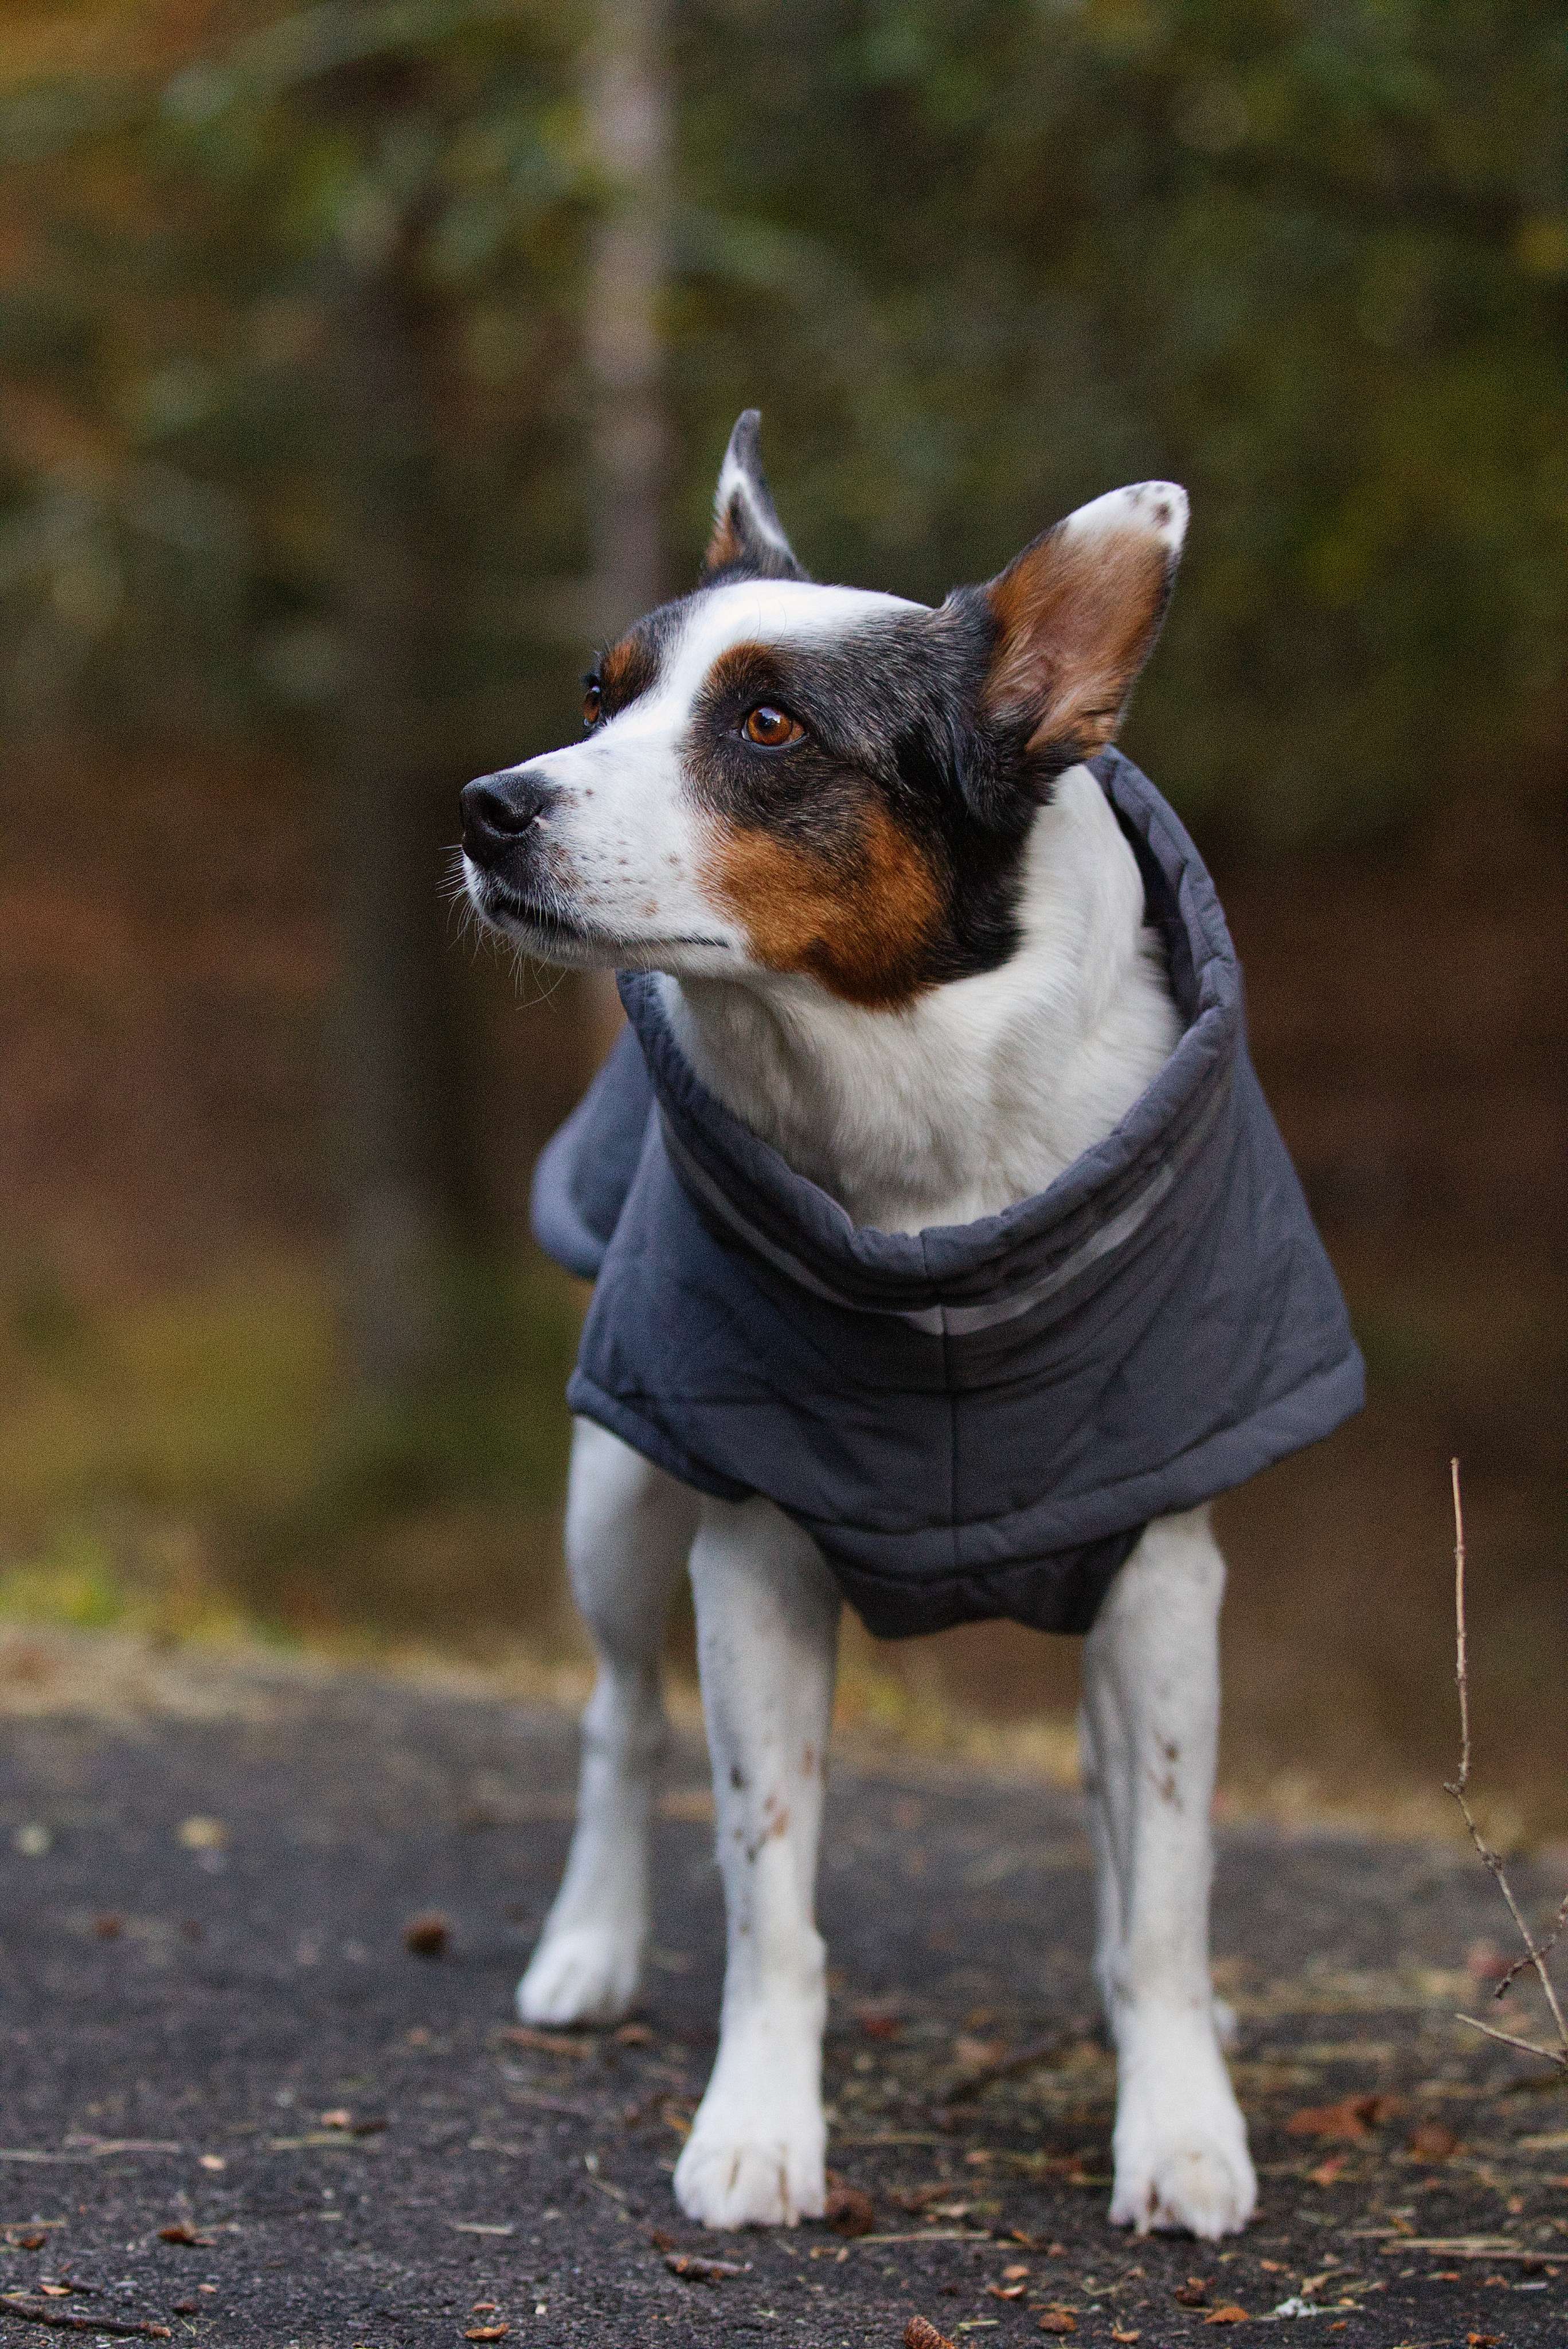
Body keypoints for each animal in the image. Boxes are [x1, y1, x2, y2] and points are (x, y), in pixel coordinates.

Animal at [455, 418, 1361, 2236]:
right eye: (596, 696)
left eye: (768, 726)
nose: (487, 809)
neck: (923, 1152)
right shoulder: (750, 1558)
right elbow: (768, 1884)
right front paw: (755, 2126)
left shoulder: (1163, 1574)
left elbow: (1165, 1884)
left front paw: (1177, 2121)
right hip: (616, 1488)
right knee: (616, 1717)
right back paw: (588, 1943)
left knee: (1112, 1813)